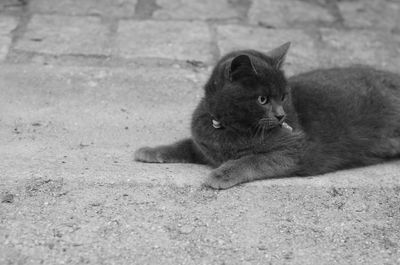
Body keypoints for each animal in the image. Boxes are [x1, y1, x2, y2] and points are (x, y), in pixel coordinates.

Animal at [134, 42, 400, 189]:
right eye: (263, 99)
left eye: (283, 96)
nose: (282, 116)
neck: (229, 129)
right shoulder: (202, 144)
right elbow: (183, 144)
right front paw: (150, 151)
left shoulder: (293, 151)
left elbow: (252, 160)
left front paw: (221, 174)